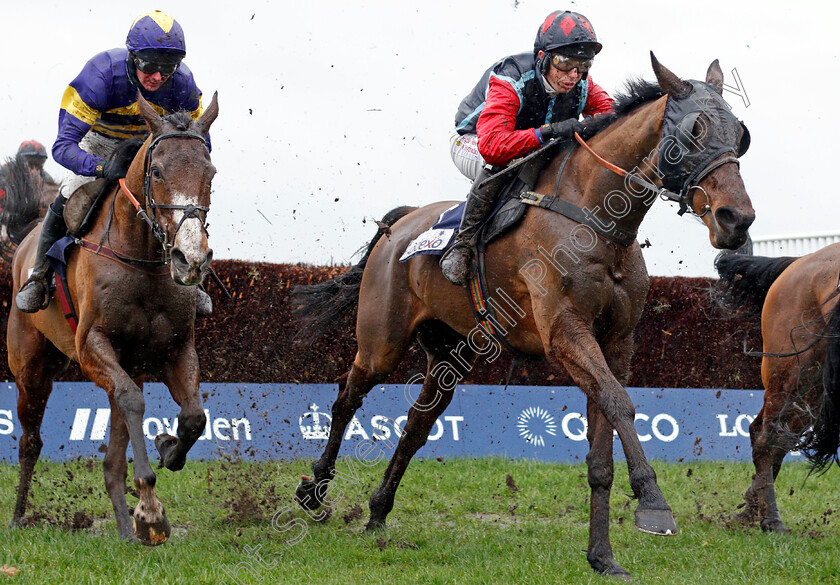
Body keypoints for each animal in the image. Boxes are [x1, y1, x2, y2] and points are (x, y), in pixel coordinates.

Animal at [8, 91, 218, 544]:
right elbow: (133, 402)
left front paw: (167, 449)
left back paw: (125, 525)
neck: (142, 260)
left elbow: (193, 417)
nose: (190, 260)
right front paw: (151, 511)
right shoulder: (93, 348)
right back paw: (17, 516)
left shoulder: (176, 350)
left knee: (115, 451)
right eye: (156, 171)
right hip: (31, 368)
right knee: (31, 440)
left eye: (210, 172)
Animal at [292, 56, 752, 580]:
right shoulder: (564, 334)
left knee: (415, 426)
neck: (596, 218)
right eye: (695, 129)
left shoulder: (616, 342)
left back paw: (377, 512)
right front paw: (653, 503)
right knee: (346, 400)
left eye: (740, 134)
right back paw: (313, 493)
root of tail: (400, 224)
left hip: (449, 353)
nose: (737, 219)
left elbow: (603, 445)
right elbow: (620, 404)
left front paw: (602, 557)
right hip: (380, 343)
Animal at [712, 244, 840, 532]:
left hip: (812, 387)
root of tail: (800, 261)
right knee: (766, 437)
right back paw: (770, 518)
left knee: (779, 436)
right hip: (791, 371)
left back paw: (752, 507)